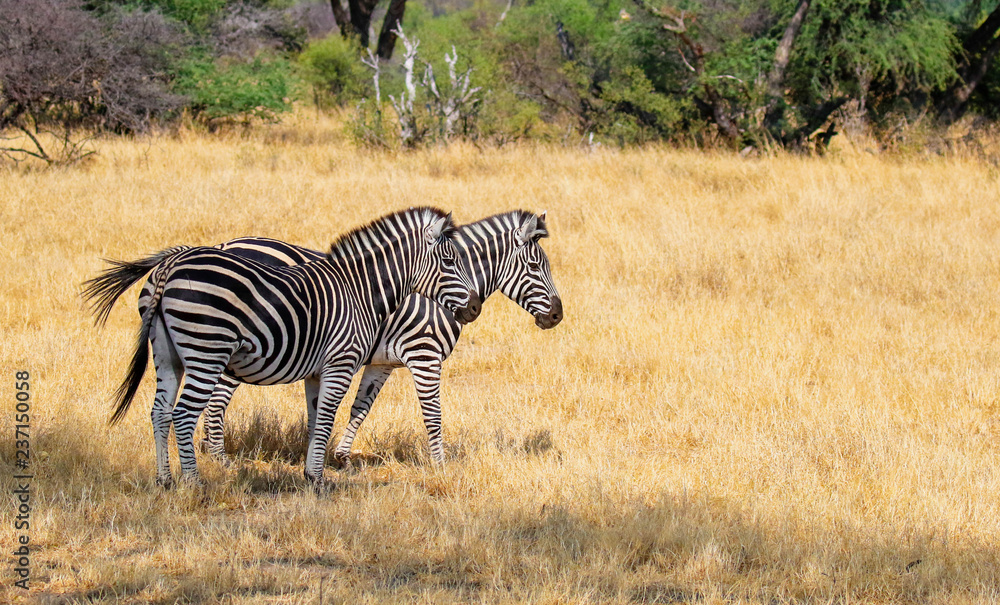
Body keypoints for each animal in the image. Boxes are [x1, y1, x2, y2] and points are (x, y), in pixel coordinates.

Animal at [84, 207, 481, 486]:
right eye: (450, 260)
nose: (475, 307)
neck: (360, 291)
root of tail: (171, 264)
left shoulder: (318, 371)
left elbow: (315, 419)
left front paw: (310, 474)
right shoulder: (341, 362)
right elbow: (327, 418)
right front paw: (318, 480)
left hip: (168, 356)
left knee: (159, 412)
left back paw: (165, 480)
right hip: (206, 352)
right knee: (183, 414)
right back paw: (194, 484)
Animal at [193, 210, 561, 465]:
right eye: (534, 267)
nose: (558, 315)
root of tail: (226, 244)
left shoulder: (382, 362)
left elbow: (361, 407)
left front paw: (340, 456)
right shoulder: (424, 356)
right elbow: (432, 413)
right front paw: (440, 465)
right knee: (217, 398)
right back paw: (219, 457)